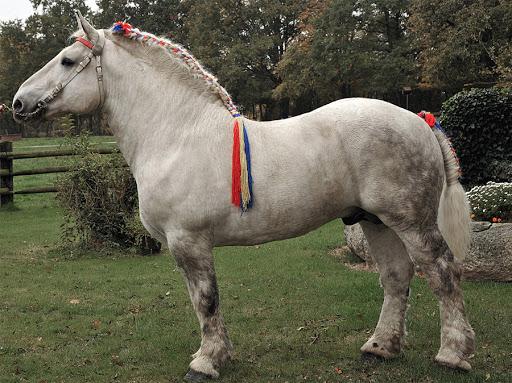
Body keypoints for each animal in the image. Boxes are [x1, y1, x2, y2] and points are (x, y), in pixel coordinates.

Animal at [13, 12, 476, 383]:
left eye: (67, 61)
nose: (18, 103)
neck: (178, 134)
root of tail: (419, 119)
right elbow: (200, 303)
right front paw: (218, 354)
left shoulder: (189, 241)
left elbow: (206, 300)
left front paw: (205, 362)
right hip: (374, 220)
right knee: (397, 276)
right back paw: (380, 348)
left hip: (411, 221)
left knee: (442, 273)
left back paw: (452, 354)